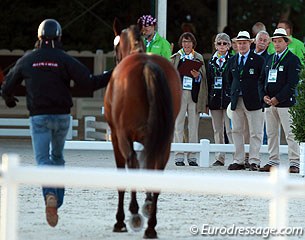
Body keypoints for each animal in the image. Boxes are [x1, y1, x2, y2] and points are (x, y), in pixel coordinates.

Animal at [103, 22, 180, 238]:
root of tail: (147, 64)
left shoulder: (117, 137)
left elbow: (124, 170)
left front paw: (121, 220)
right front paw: (147, 203)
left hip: (123, 137)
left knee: (133, 163)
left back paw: (134, 214)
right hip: (164, 140)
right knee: (157, 169)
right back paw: (151, 226)